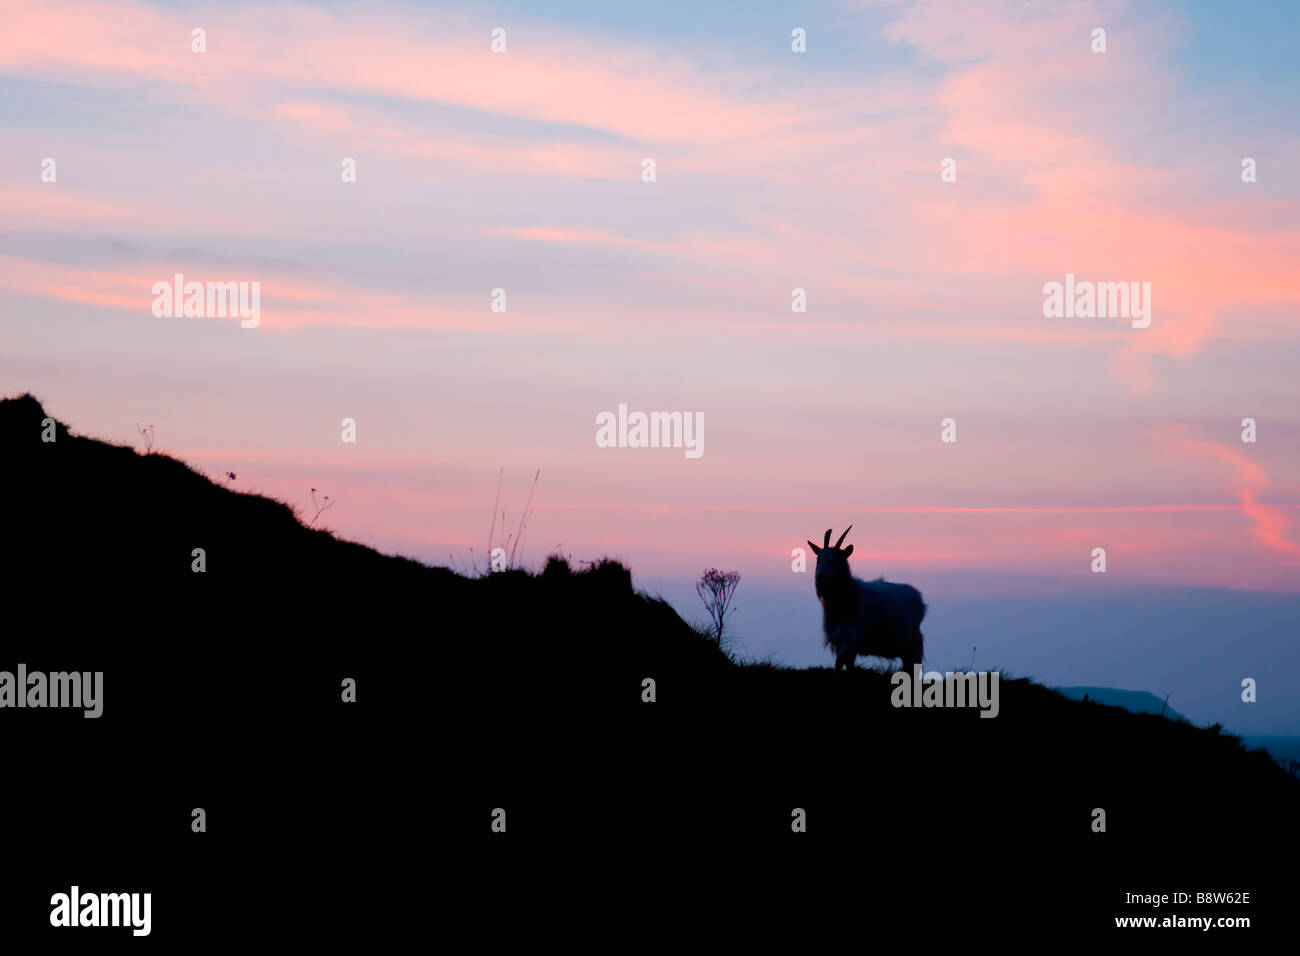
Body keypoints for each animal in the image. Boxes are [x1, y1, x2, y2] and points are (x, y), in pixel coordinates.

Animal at [811, 530, 925, 671]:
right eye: (818, 559)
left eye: (838, 560)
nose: (821, 578)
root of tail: (919, 598)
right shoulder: (840, 642)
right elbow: (846, 665)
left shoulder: (851, 640)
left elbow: (839, 662)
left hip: (912, 645)